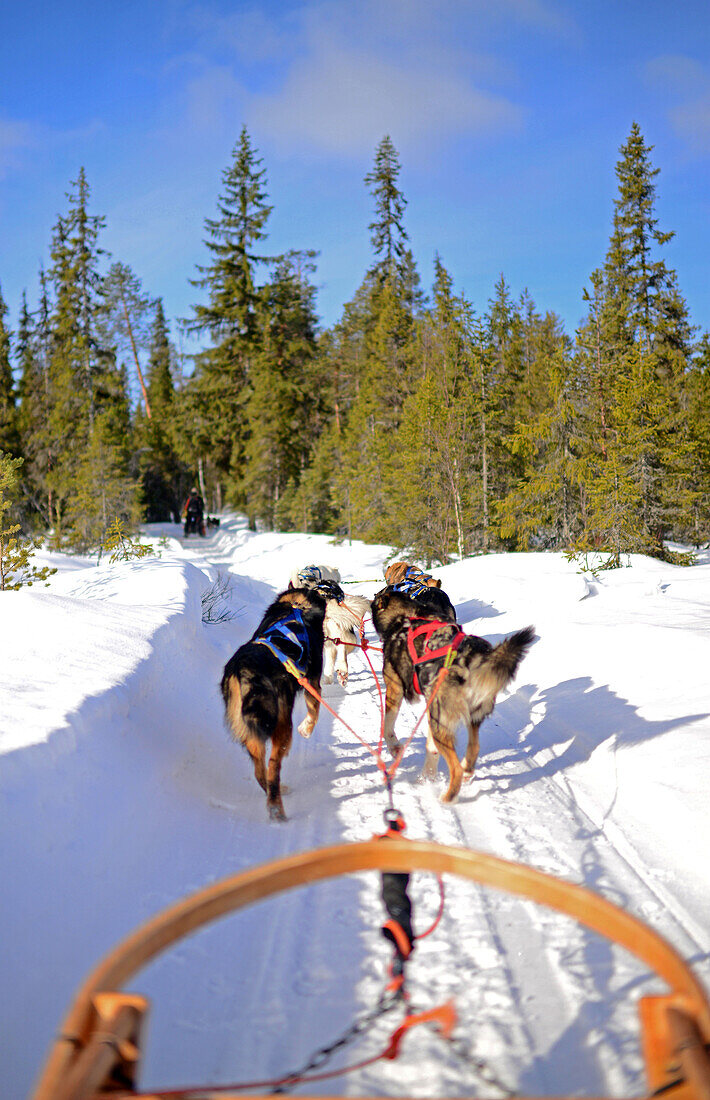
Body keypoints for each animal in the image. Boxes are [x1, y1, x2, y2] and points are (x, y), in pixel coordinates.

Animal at [220, 594, 325, 818]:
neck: (296, 605)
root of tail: (245, 667)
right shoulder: (313, 682)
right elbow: (314, 712)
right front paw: (307, 729)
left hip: (253, 730)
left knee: (259, 770)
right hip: (283, 725)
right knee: (272, 766)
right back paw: (277, 809)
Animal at [372, 589, 532, 805]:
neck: (407, 615)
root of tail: (471, 660)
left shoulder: (394, 688)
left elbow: (387, 725)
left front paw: (394, 747)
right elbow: (431, 750)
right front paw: (427, 777)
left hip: (440, 720)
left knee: (455, 768)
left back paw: (447, 797)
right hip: (462, 717)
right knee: (473, 749)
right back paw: (464, 771)